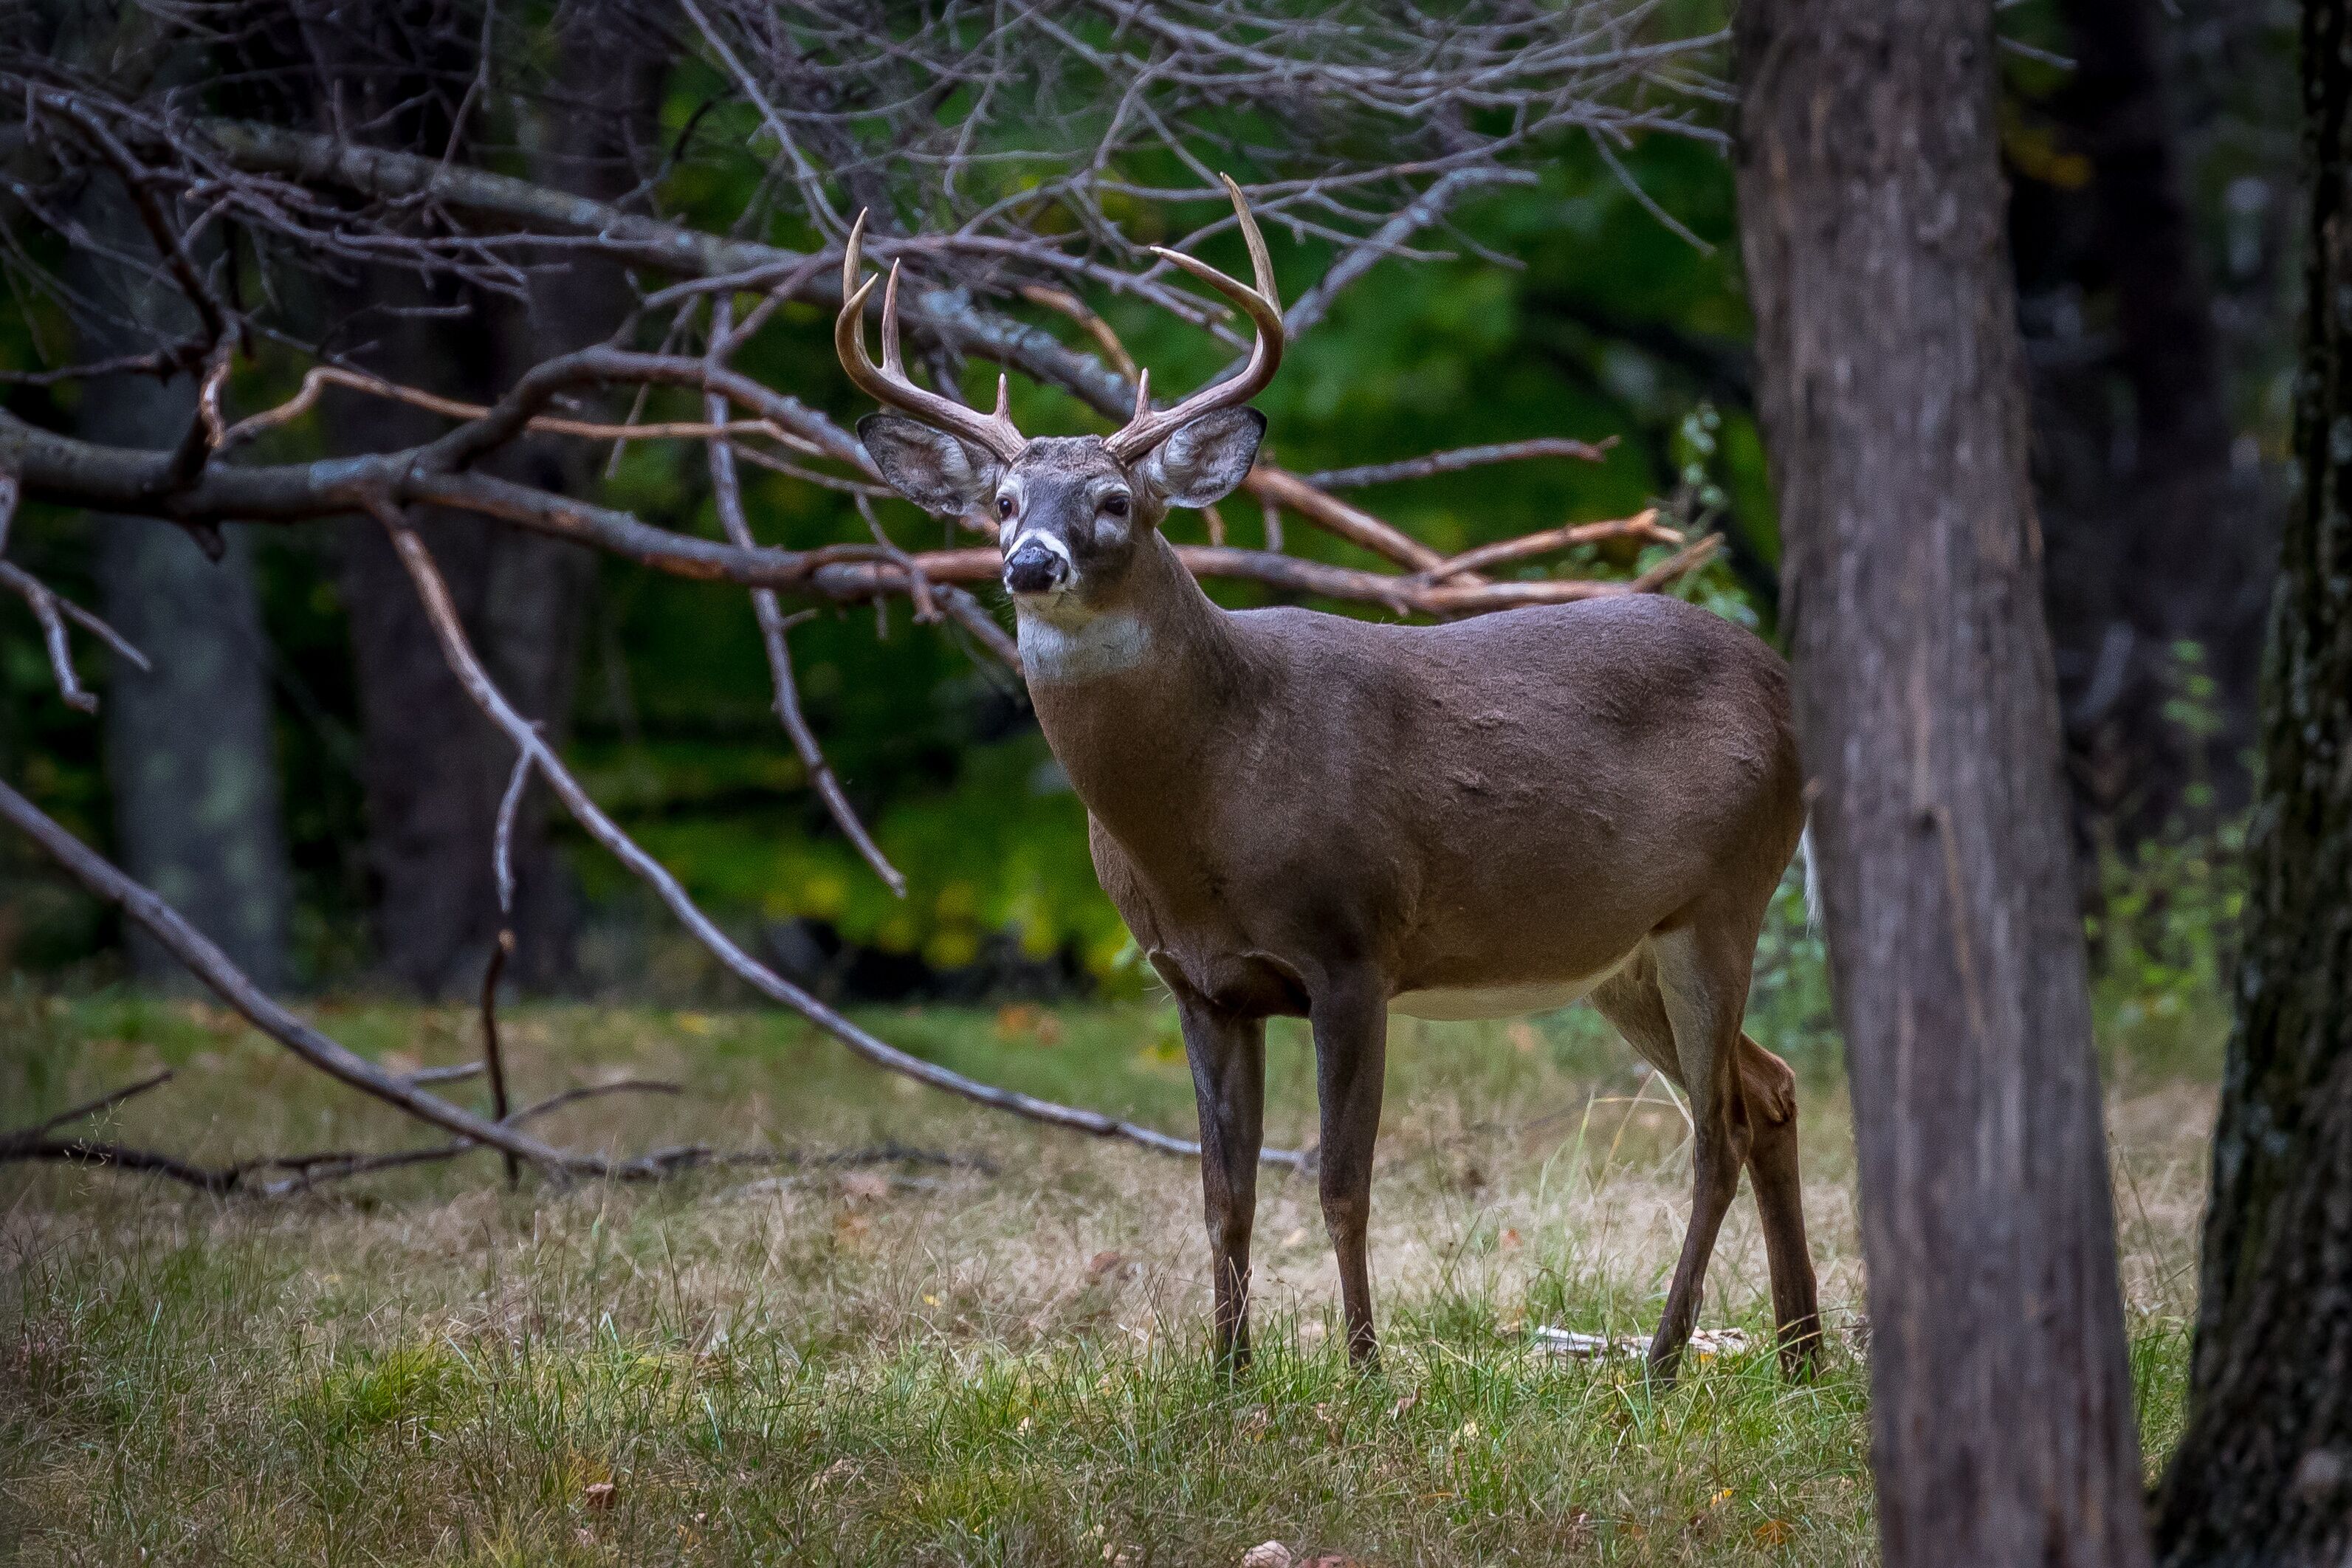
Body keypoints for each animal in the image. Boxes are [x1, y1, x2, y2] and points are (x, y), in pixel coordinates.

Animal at [835, 180, 1821, 1382]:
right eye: (1004, 502)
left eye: (1114, 500)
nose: (1031, 564)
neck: (1211, 799)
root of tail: (1783, 681)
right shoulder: (1198, 982)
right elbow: (1224, 1195)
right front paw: (1225, 1376)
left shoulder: (1354, 948)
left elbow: (1343, 1184)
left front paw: (1362, 1369)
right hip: (1618, 952)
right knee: (1767, 1091)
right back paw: (1801, 1354)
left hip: (1724, 896)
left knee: (1715, 1130)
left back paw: (1667, 1358)